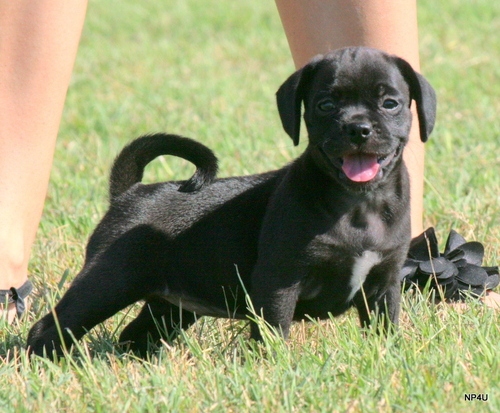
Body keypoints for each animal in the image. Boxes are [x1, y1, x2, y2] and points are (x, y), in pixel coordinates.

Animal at [27, 46, 436, 356]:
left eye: (390, 103)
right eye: (324, 105)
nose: (358, 129)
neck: (357, 205)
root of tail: (130, 192)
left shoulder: (382, 285)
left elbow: (385, 330)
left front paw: (387, 357)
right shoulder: (279, 283)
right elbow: (273, 333)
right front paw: (274, 368)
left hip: (170, 305)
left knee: (137, 333)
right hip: (108, 281)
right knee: (52, 326)